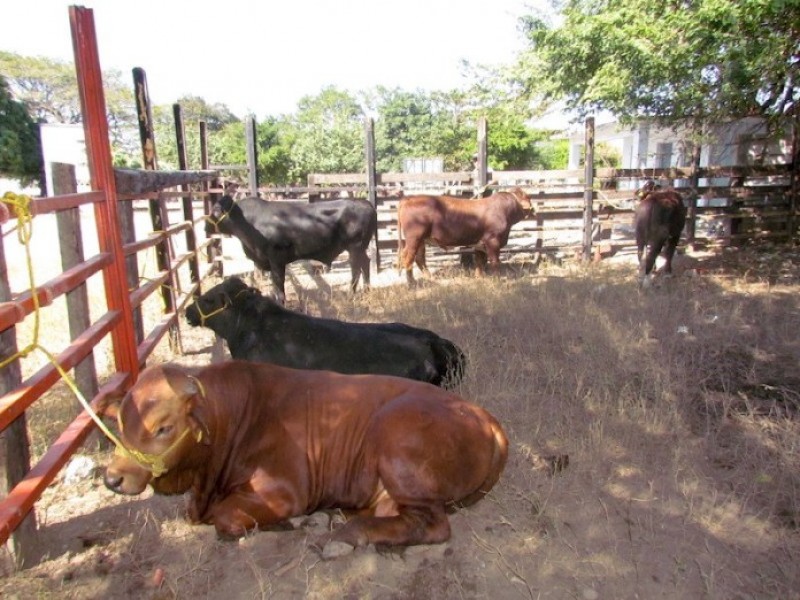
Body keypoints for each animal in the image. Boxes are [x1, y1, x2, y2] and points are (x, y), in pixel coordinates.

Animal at [205, 195, 376, 302]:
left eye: (215, 211)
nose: (205, 226)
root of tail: (366, 203)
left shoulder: (276, 259)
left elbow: (279, 285)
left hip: (355, 247)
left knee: (356, 269)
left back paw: (352, 295)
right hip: (360, 249)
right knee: (365, 264)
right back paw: (367, 290)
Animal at [396, 189, 532, 284]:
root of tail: (409, 198)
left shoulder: (480, 244)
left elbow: (480, 261)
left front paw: (479, 277)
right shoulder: (493, 241)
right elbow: (494, 262)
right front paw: (497, 279)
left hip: (421, 240)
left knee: (419, 258)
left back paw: (430, 278)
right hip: (414, 238)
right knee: (407, 257)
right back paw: (411, 283)